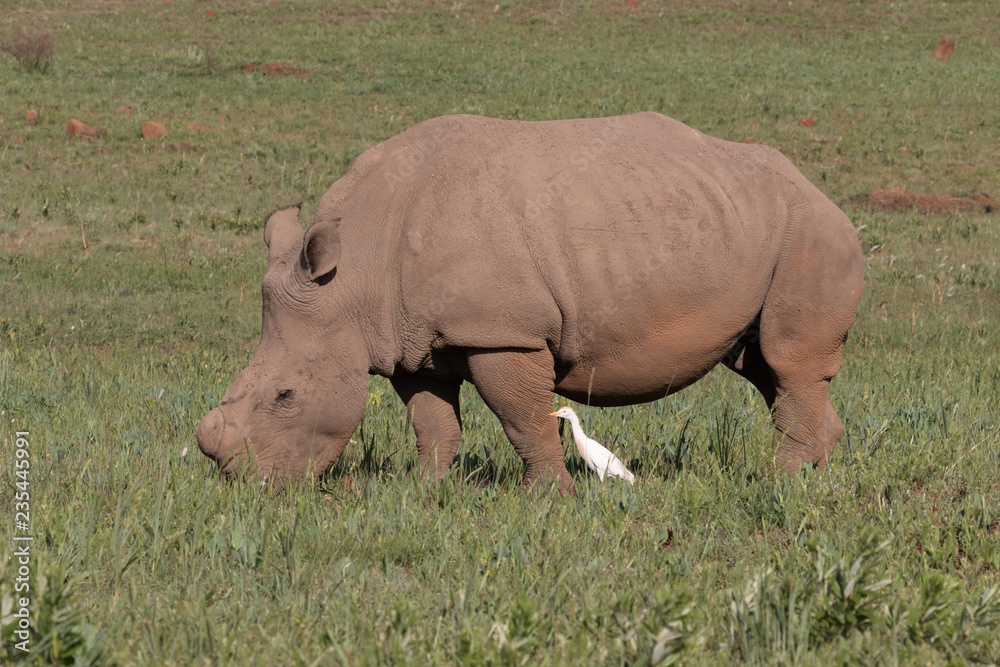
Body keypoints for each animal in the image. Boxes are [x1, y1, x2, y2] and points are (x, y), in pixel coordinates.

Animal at [196, 112, 864, 492]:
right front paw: (425, 493)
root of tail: (824, 193)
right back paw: (815, 475)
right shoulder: (412, 340)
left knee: (788, 363)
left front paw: (548, 498)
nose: (241, 483)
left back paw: (779, 485)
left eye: (285, 396)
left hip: (811, 234)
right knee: (761, 366)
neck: (355, 275)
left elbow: (523, 417)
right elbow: (433, 423)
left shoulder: (501, 331)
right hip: (744, 226)